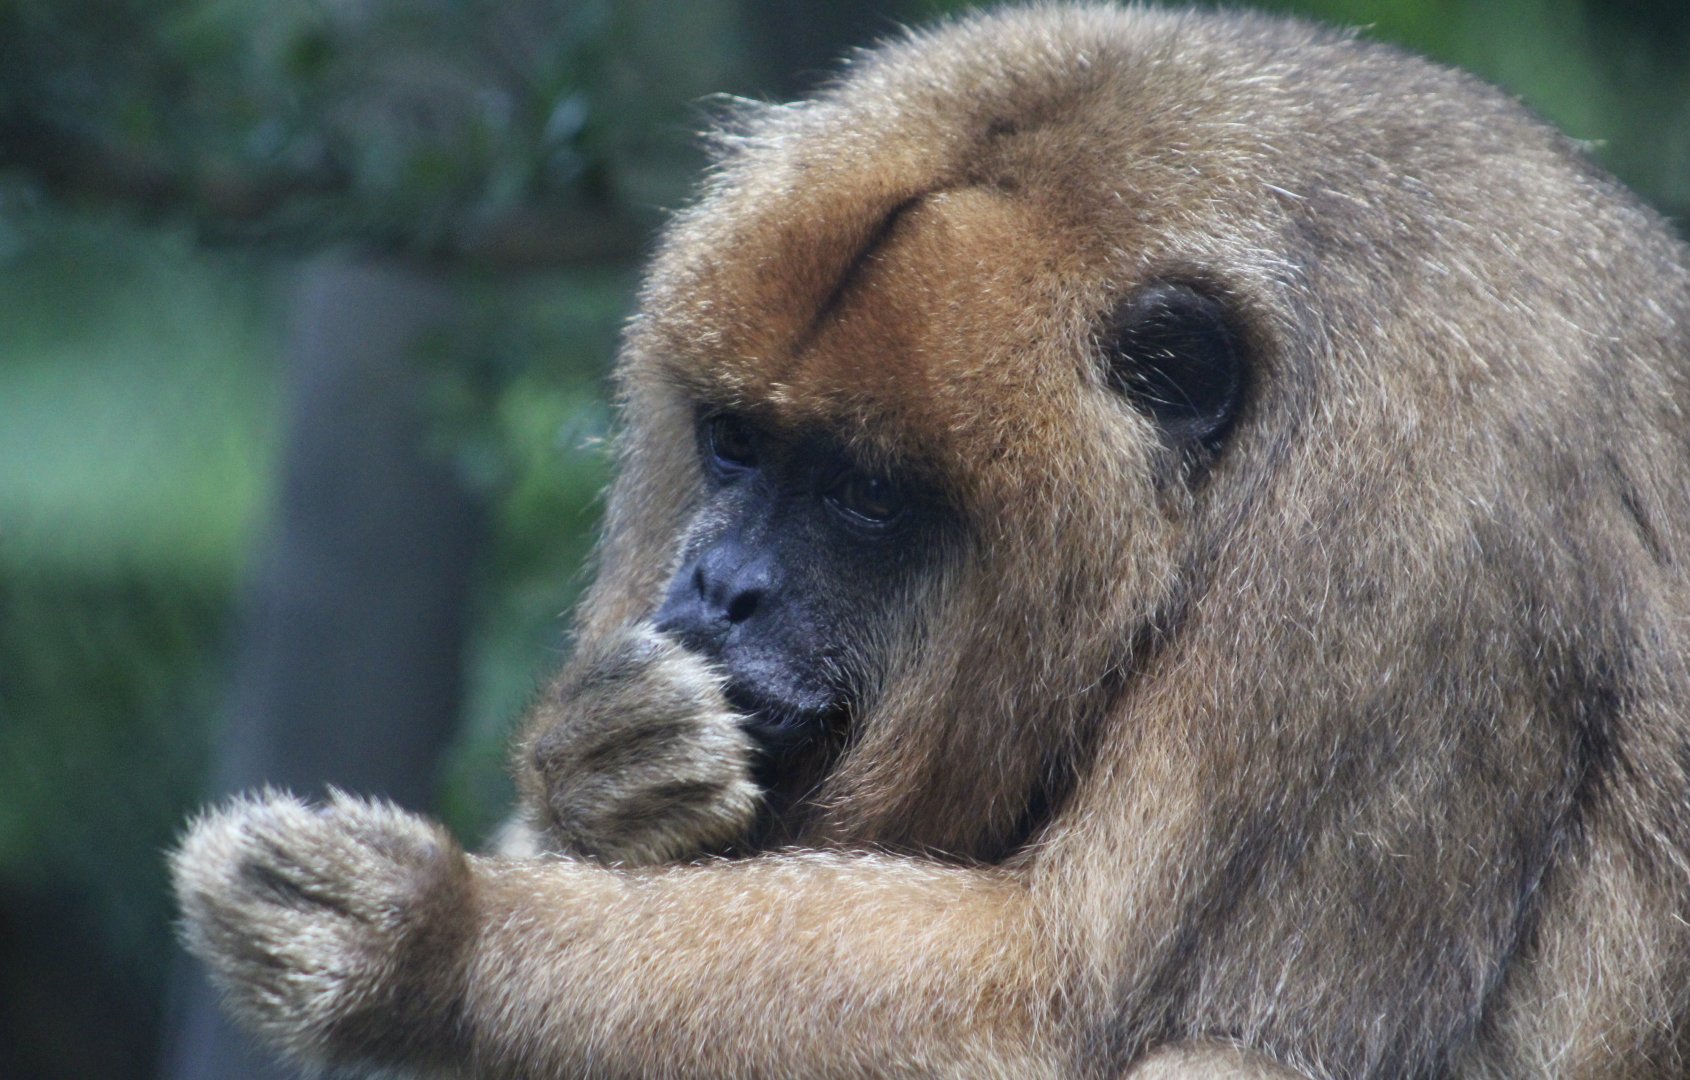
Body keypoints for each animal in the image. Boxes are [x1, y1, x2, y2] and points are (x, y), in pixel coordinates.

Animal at [170, 4, 1690, 1078]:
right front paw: (601, 771)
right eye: (735, 442)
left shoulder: (1419, 542)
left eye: (865, 496)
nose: (718, 584)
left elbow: (1071, 1002)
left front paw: (434, 940)